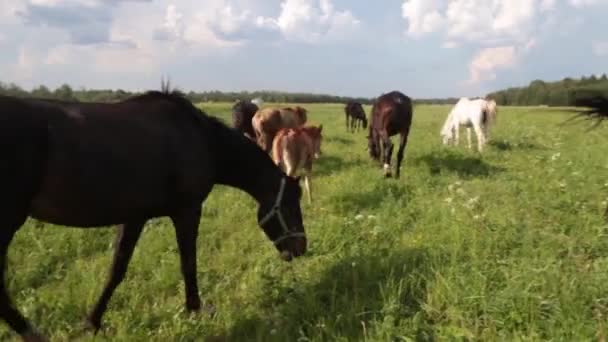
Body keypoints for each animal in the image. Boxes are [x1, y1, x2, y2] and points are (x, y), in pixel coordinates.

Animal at [0, 89, 304, 342]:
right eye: (291, 204)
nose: (301, 247)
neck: (200, 138)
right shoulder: (187, 210)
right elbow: (188, 264)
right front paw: (195, 310)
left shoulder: (135, 216)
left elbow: (117, 268)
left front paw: (93, 321)